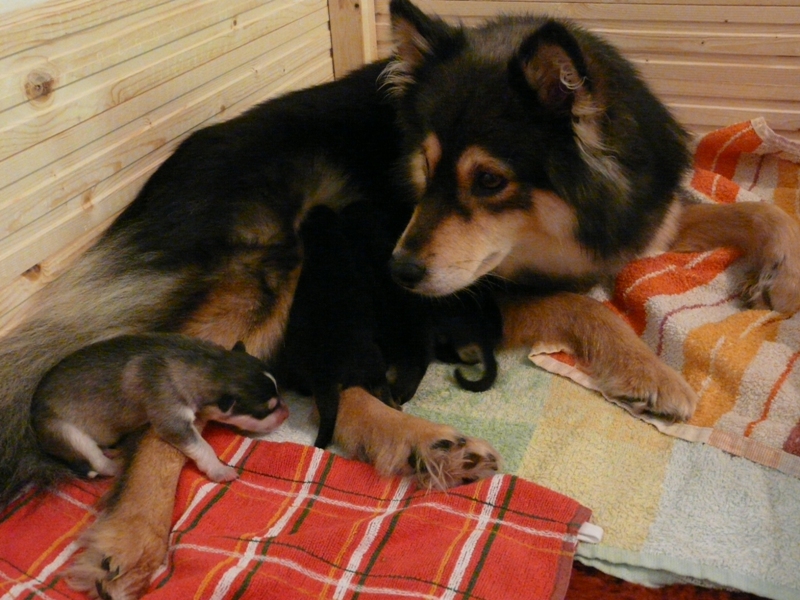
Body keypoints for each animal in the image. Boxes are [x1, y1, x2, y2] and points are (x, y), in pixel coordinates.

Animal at [31, 334, 287, 483]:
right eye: (265, 410)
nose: (287, 413)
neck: (208, 363)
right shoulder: (172, 421)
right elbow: (202, 446)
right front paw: (219, 469)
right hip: (65, 432)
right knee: (96, 461)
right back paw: (115, 463)